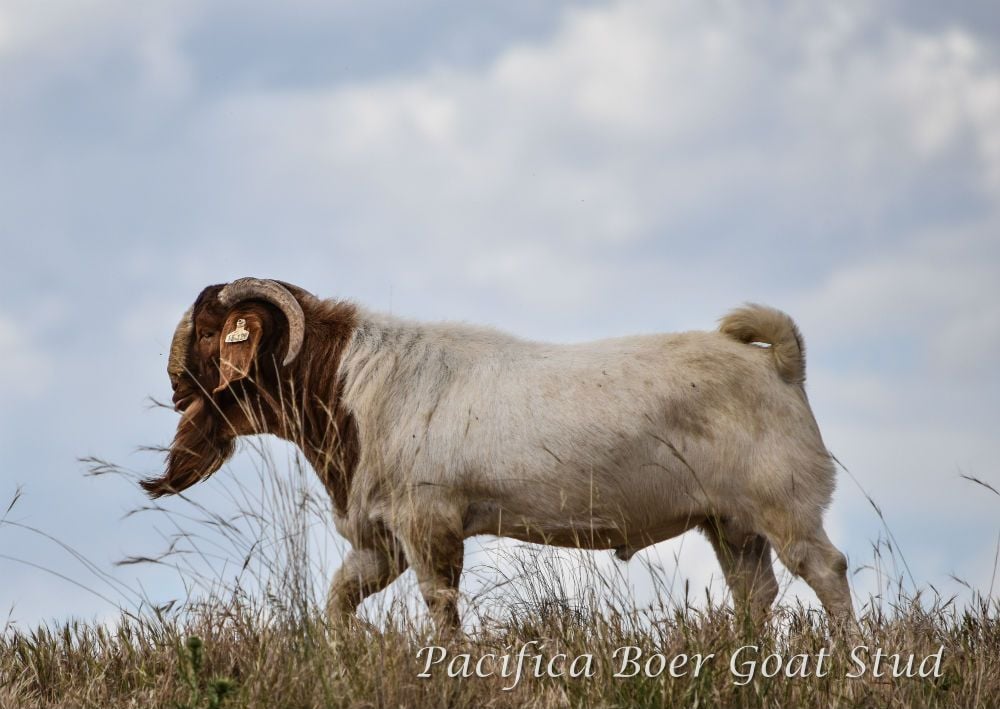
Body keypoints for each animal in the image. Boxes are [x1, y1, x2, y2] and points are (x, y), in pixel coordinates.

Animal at [143, 277, 853, 629]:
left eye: (208, 333)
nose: (174, 387)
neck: (351, 387)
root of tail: (779, 365)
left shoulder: (429, 523)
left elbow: (441, 608)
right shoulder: (381, 539)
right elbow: (340, 600)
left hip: (784, 501)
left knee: (827, 569)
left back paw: (847, 660)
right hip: (730, 522)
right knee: (756, 591)